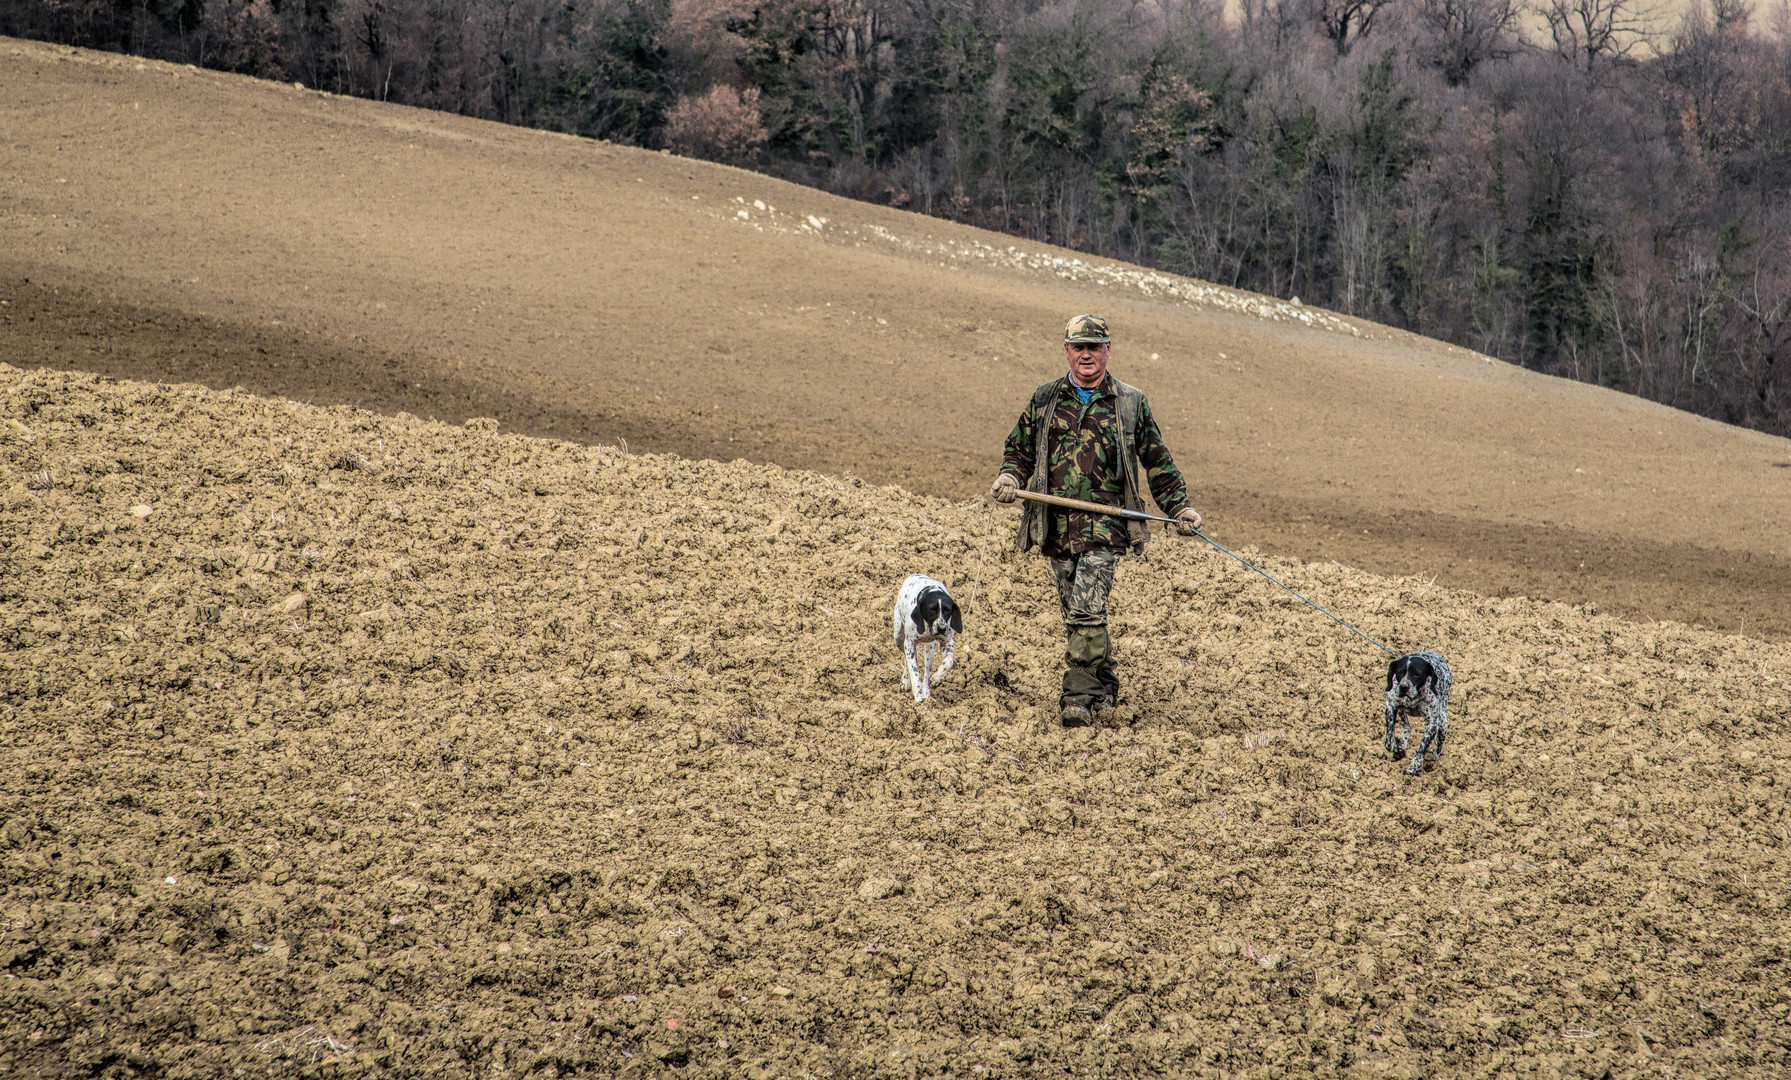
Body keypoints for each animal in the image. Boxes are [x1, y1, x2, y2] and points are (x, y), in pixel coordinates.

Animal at [888, 573, 959, 702]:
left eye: (947, 610)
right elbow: (914, 672)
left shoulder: (947, 642)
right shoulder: (909, 643)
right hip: (899, 638)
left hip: (929, 649)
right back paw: (906, 680)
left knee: (926, 672)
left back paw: (926, 690)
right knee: (907, 659)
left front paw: (938, 677)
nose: (941, 628)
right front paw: (918, 696)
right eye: (932, 609)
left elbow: (949, 661)